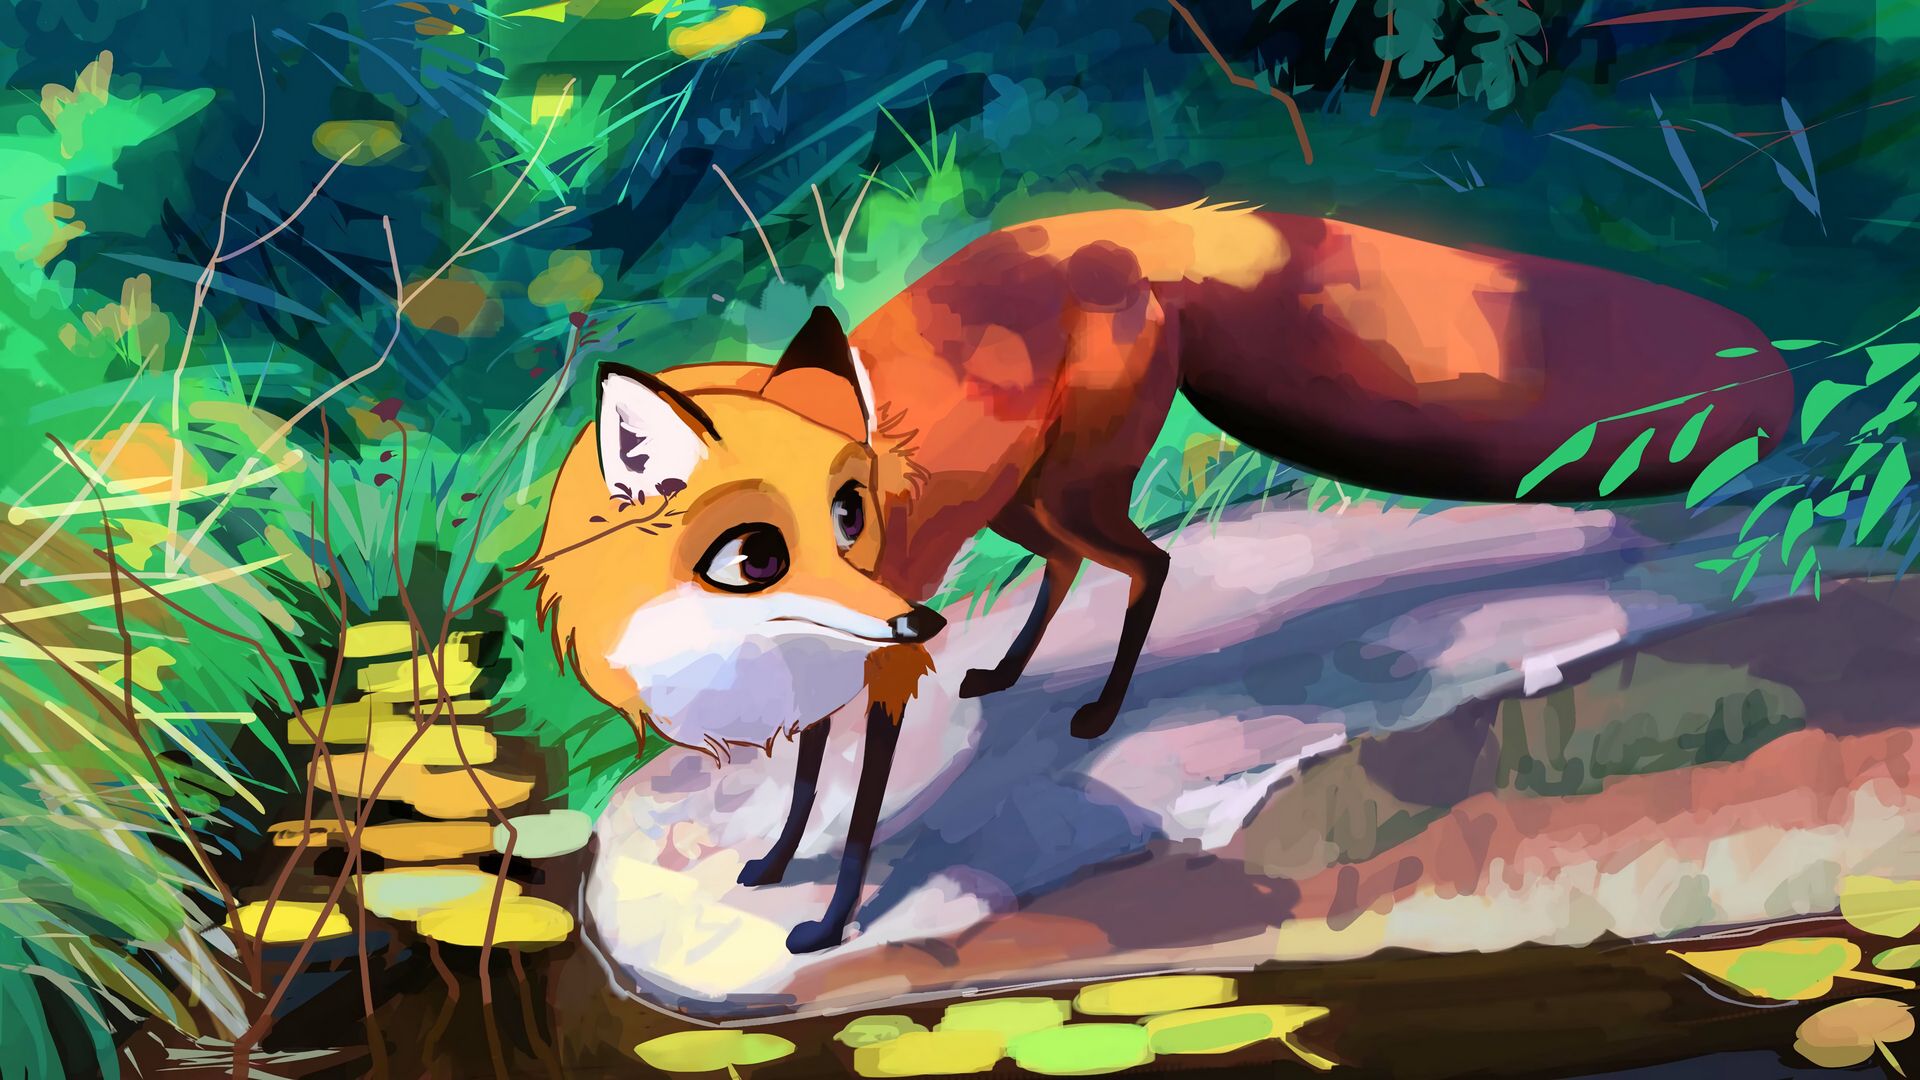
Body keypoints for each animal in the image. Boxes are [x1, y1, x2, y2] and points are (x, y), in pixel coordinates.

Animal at [529, 203, 1794, 954]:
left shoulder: (879, 671)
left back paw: (1095, 709)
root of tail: (1127, 224)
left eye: (854, 513)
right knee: (1069, 565)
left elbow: (857, 820)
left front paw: (829, 921)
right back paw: (1009, 673)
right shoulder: (825, 671)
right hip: (1032, 497)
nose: (918, 616)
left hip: (1076, 486)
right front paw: (772, 863)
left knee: (1149, 561)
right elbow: (802, 791)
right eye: (759, 551)